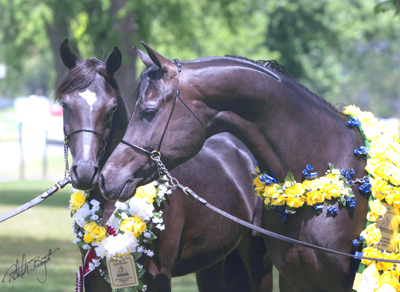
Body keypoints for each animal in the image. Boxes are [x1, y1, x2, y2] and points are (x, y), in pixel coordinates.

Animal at [55, 39, 272, 292]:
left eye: (112, 108)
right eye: (65, 105)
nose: (86, 172)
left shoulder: (158, 275)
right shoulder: (93, 276)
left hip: (258, 257)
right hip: (214, 262)